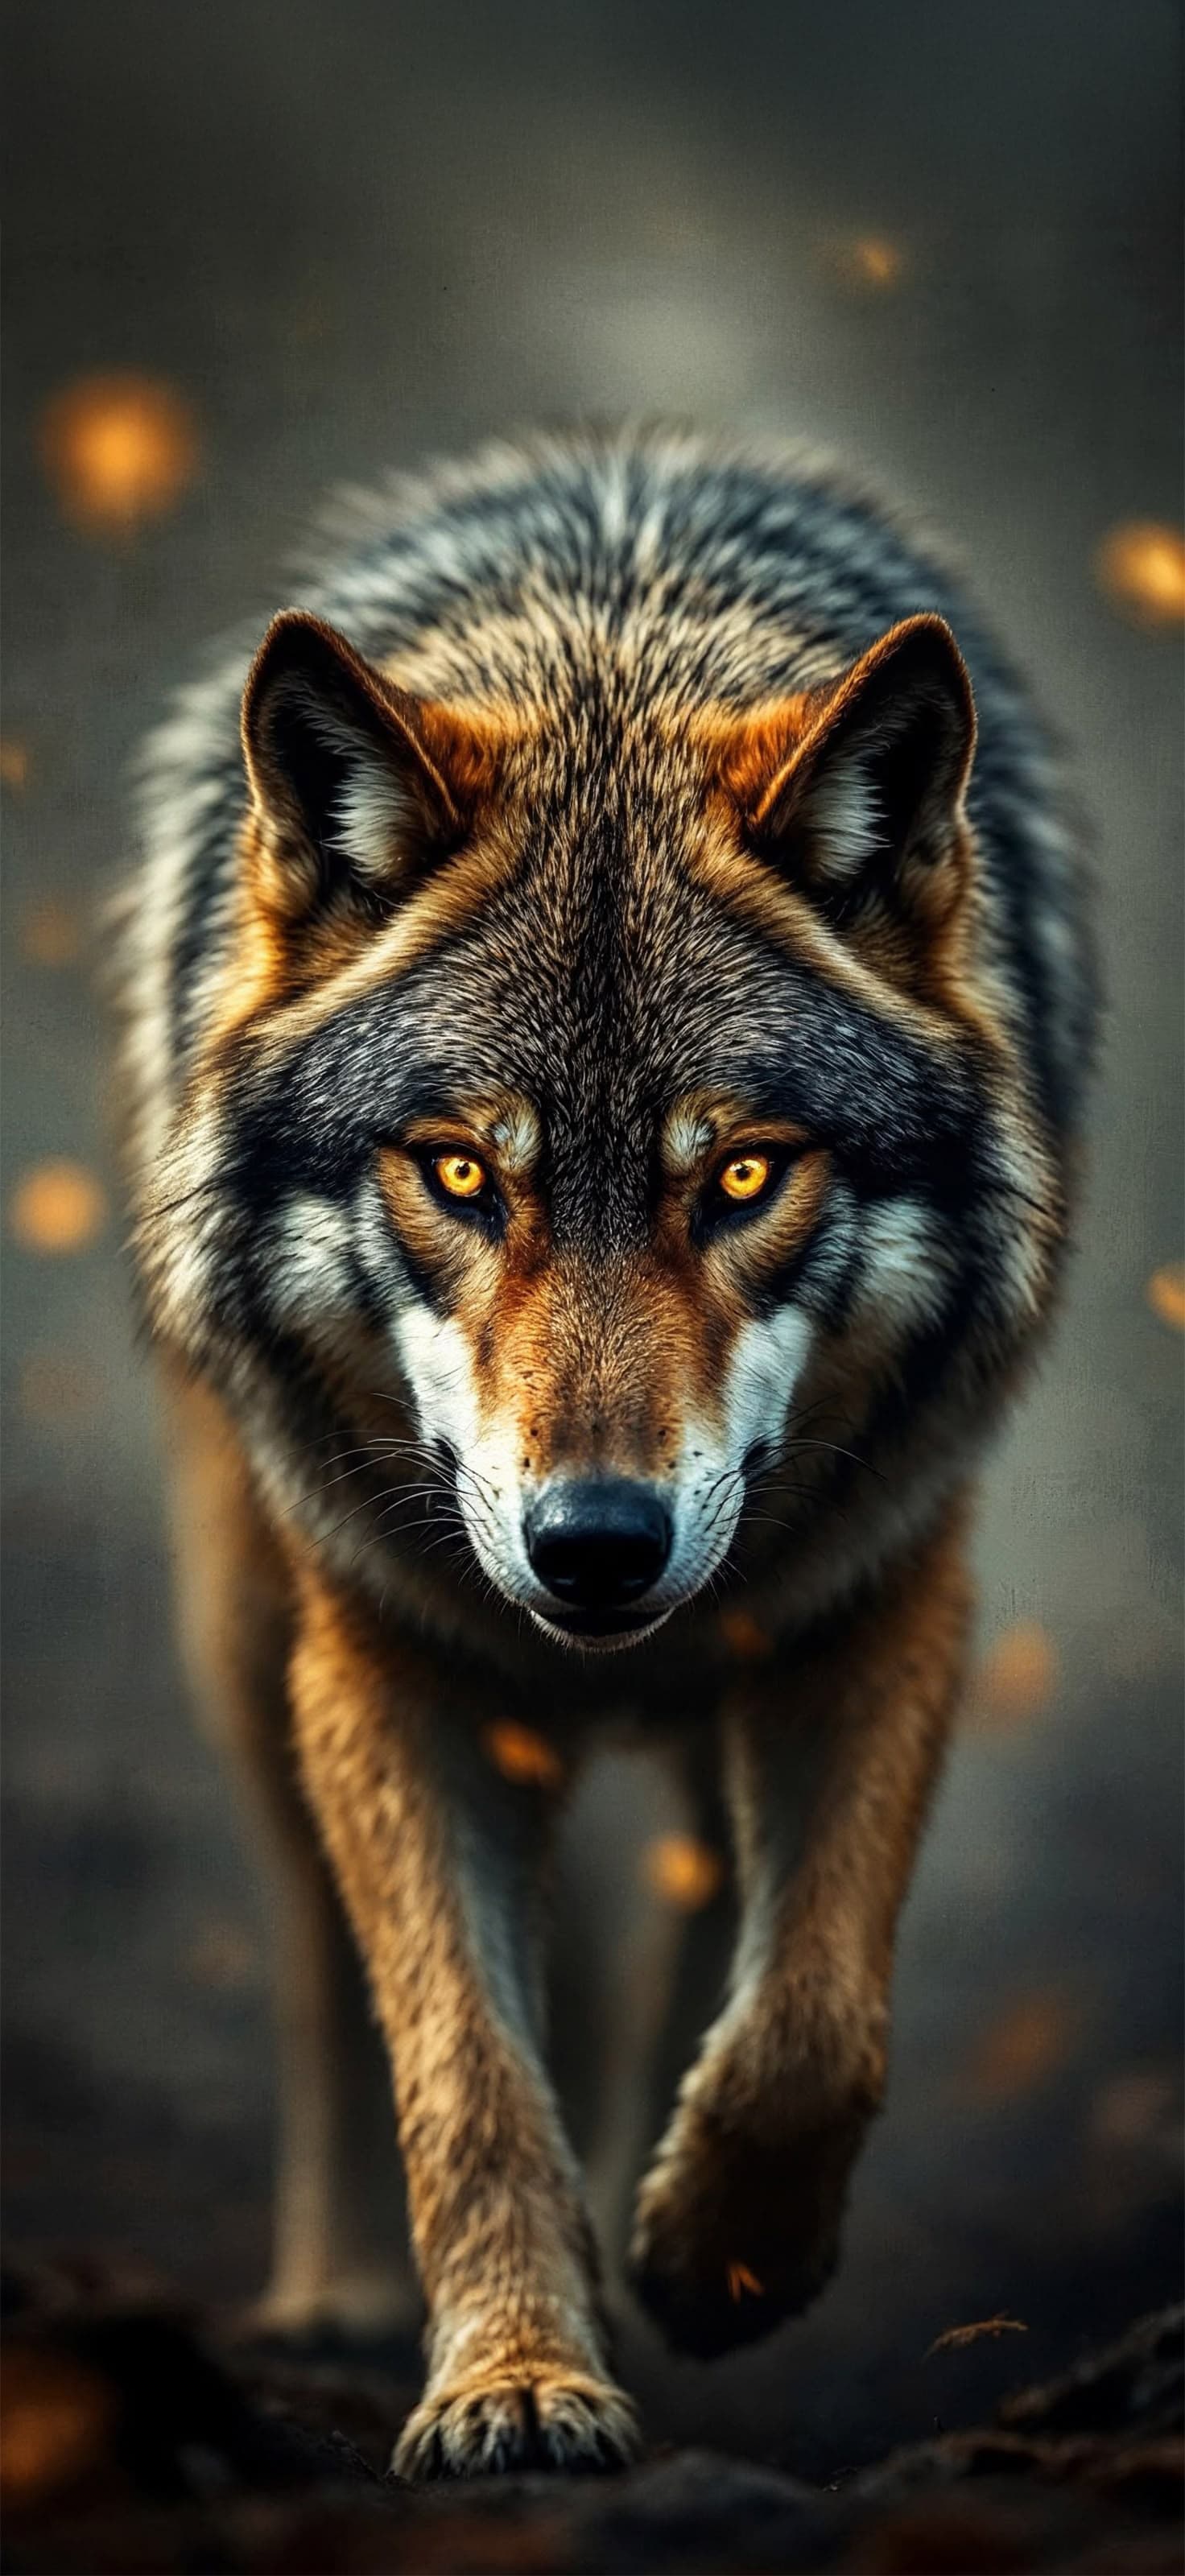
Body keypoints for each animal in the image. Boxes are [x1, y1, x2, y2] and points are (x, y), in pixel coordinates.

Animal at [116, 428, 1094, 2478]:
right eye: (458, 1171)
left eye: (738, 1175)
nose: (594, 1546)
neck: (613, 642)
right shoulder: (387, 1668)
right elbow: (463, 2070)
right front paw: (511, 2381)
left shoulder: (888, 1594)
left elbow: (813, 2018)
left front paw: (709, 2257)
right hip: (250, 1635)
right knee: (327, 1964)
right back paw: (347, 2293)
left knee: (716, 1905)